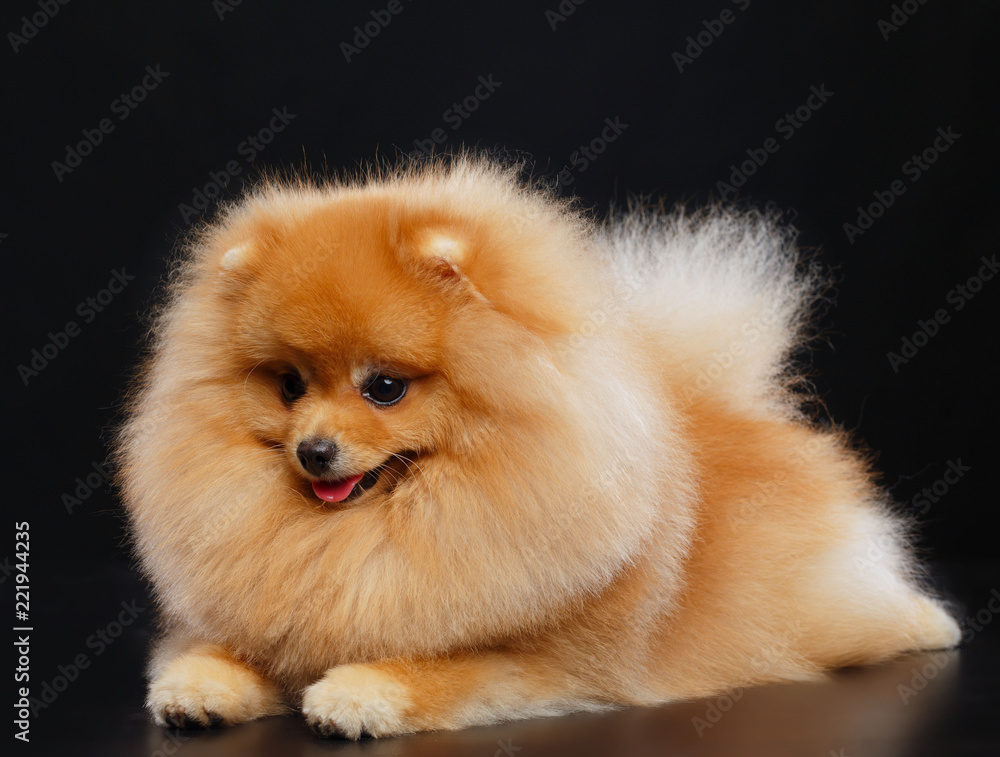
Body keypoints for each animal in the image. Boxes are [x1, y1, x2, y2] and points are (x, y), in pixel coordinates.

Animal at [119, 155, 960, 740]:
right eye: (290, 385)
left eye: (384, 387)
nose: (314, 450)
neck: (365, 532)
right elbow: (221, 648)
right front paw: (200, 687)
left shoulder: (551, 660)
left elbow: (445, 668)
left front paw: (359, 691)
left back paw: (930, 622)